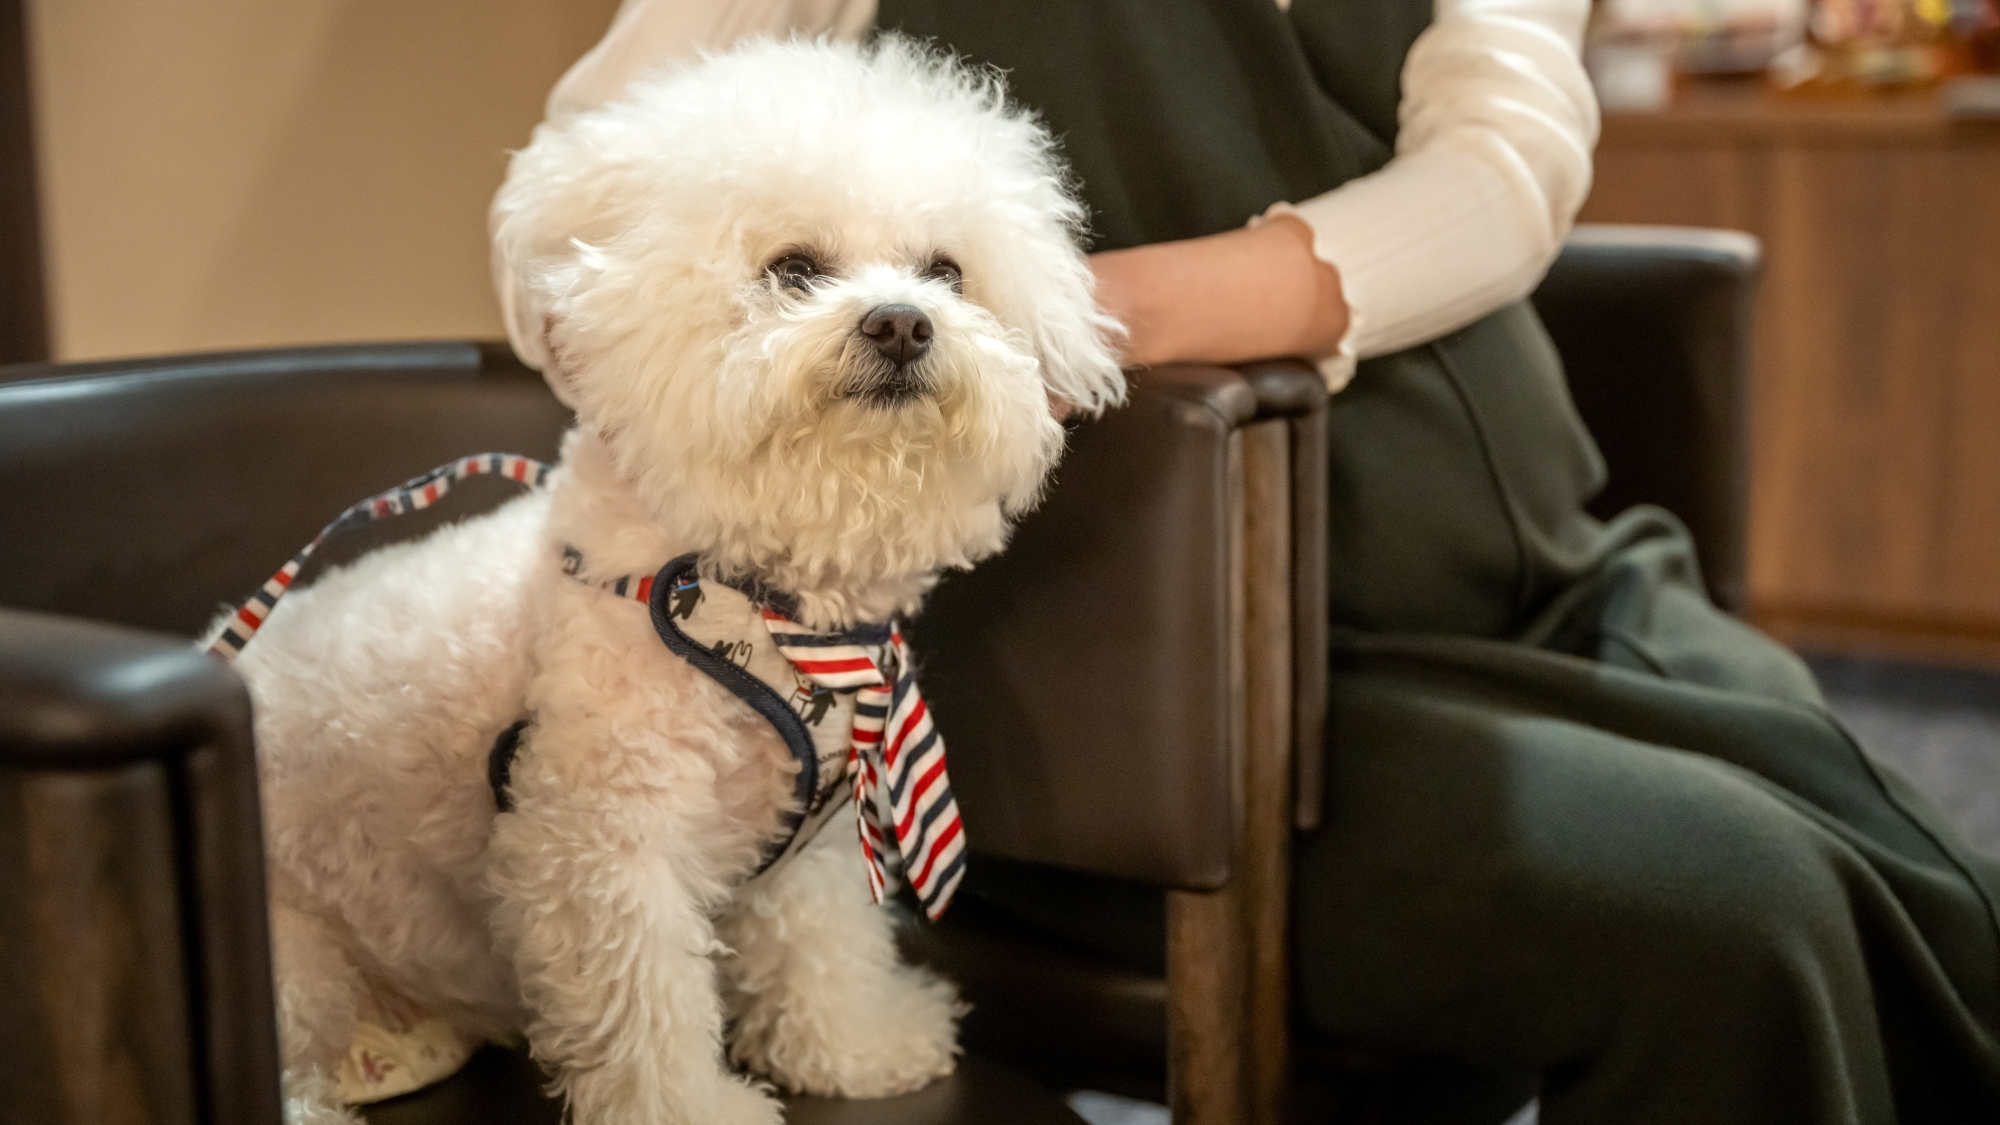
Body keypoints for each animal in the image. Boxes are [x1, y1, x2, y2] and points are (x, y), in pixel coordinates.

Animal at [230, 35, 1128, 1120]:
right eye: (794, 269)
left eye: (945, 271)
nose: (903, 324)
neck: (764, 609)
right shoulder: (606, 847)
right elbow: (645, 1005)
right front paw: (695, 1104)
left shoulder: (812, 843)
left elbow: (822, 949)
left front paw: (854, 1048)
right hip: (290, 966)